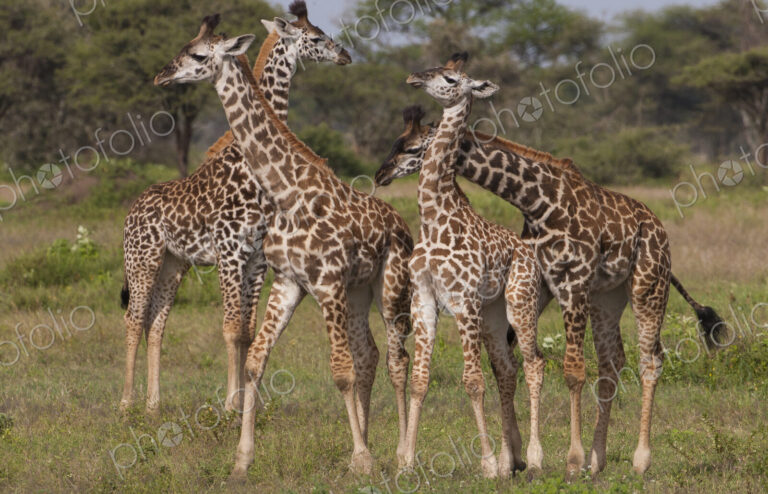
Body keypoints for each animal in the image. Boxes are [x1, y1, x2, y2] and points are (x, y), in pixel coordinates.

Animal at [120, 1, 351, 415]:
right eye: (315, 38)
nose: (345, 55)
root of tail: (131, 211)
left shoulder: (256, 257)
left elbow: (246, 330)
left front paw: (248, 403)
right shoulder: (229, 252)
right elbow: (229, 329)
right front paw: (230, 406)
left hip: (173, 263)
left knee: (156, 323)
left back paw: (154, 404)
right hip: (142, 259)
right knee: (133, 319)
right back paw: (127, 404)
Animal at [153, 14, 413, 479]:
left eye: (198, 56)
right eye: (182, 49)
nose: (162, 75)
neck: (286, 193)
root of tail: (403, 226)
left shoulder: (325, 283)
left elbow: (340, 371)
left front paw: (361, 458)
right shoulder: (289, 282)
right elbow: (256, 360)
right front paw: (242, 459)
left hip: (391, 286)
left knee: (398, 360)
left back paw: (402, 457)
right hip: (359, 291)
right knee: (371, 355)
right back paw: (375, 444)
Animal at [375, 106, 725, 477]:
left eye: (412, 147)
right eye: (395, 142)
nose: (381, 173)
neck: (536, 199)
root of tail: (659, 229)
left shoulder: (573, 281)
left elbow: (571, 370)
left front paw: (569, 459)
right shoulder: (538, 283)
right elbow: (510, 363)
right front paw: (512, 457)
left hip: (648, 287)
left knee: (650, 359)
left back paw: (639, 459)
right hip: (606, 298)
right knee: (611, 362)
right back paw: (598, 459)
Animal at [396, 53, 546, 479]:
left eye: (450, 79)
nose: (413, 76)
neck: (434, 219)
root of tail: (530, 252)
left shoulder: (463, 301)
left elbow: (473, 381)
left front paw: (487, 465)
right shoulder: (423, 300)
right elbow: (420, 380)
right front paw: (406, 463)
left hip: (520, 302)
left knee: (535, 364)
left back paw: (536, 458)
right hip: (494, 314)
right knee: (507, 369)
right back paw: (513, 459)